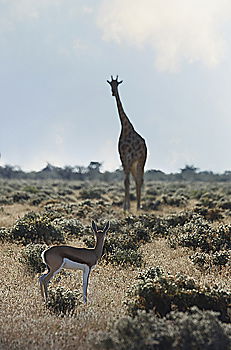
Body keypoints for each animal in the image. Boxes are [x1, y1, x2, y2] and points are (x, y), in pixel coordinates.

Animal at [107, 75, 147, 209]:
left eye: (117, 84)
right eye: (111, 84)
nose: (113, 92)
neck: (125, 128)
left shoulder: (128, 157)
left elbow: (127, 181)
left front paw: (127, 206)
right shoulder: (123, 157)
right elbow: (126, 181)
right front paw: (126, 206)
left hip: (141, 160)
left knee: (139, 180)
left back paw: (139, 206)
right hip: (134, 163)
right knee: (136, 179)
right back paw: (138, 205)